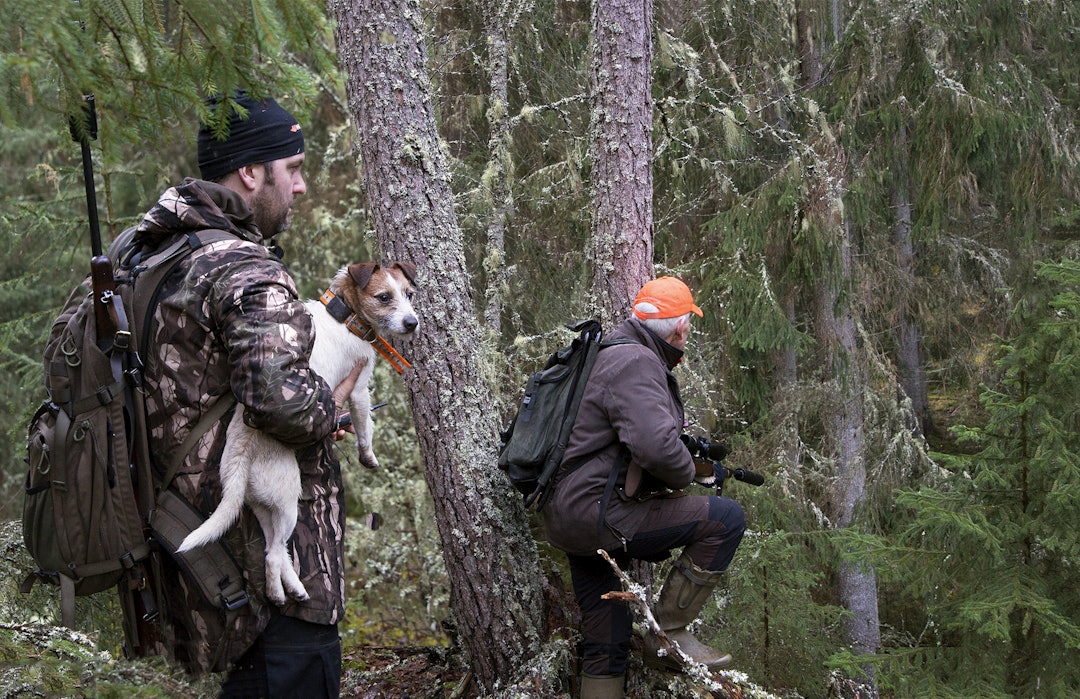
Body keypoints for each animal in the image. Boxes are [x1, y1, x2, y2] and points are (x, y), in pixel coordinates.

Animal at [177, 259, 416, 605]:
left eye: (409, 293)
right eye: (384, 297)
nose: (413, 323)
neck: (343, 315)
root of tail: (239, 457)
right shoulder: (358, 388)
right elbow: (364, 424)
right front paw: (368, 456)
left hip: (265, 507)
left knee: (273, 549)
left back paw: (295, 588)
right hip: (290, 500)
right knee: (273, 555)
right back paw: (278, 594)